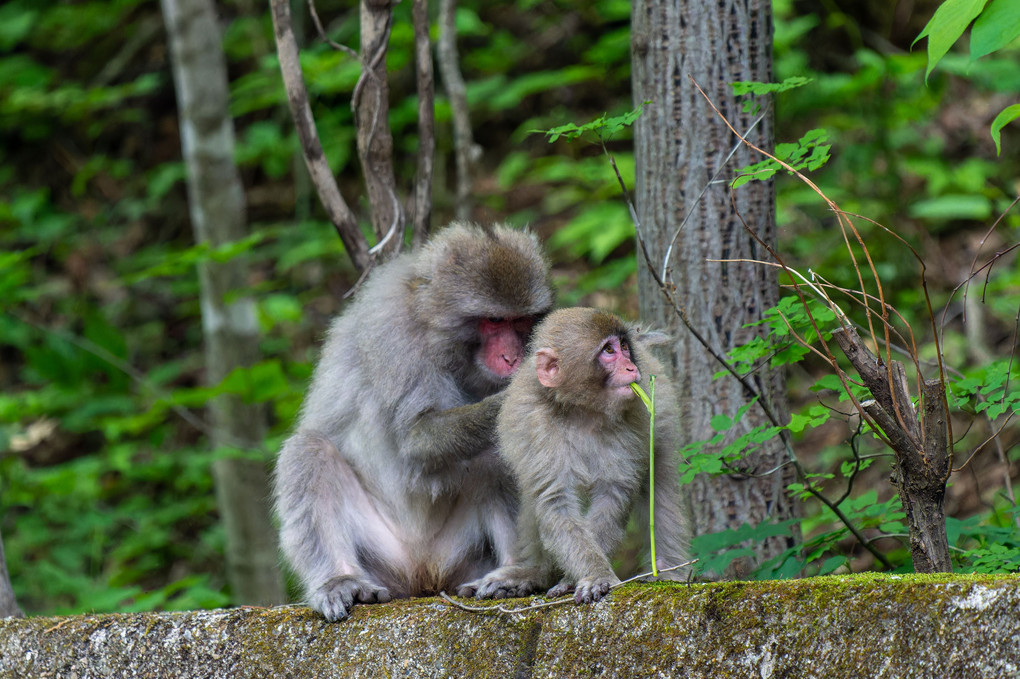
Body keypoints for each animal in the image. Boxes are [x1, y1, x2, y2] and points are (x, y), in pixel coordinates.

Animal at [459, 307, 689, 603]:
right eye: (608, 350)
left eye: (624, 347)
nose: (632, 368)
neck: (583, 410)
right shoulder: (534, 423)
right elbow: (554, 500)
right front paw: (591, 574)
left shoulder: (634, 418)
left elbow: (613, 495)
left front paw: (582, 578)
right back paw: (533, 573)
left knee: (661, 486)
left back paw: (669, 569)